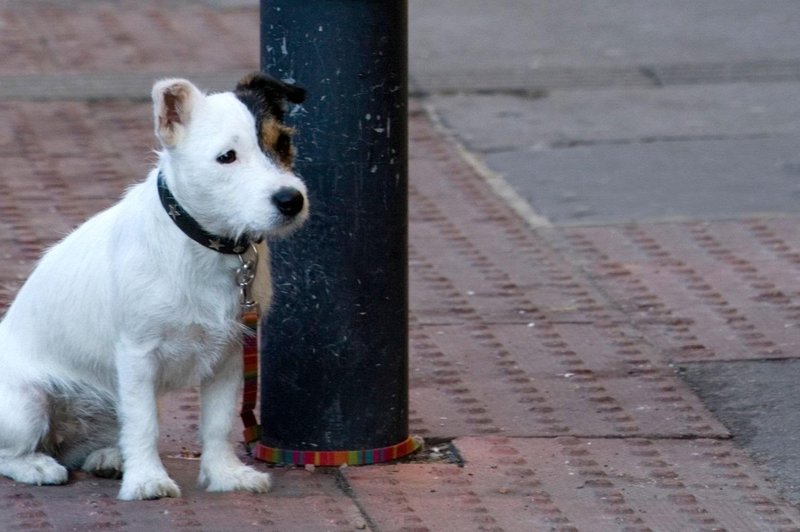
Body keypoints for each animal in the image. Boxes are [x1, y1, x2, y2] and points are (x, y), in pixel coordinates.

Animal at [0, 71, 308, 498]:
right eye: (227, 157)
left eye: (281, 143)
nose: (291, 200)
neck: (206, 246)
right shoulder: (138, 355)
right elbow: (145, 424)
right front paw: (147, 480)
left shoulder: (229, 357)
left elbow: (218, 424)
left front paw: (225, 474)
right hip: (26, 404)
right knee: (11, 453)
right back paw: (37, 466)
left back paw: (108, 458)